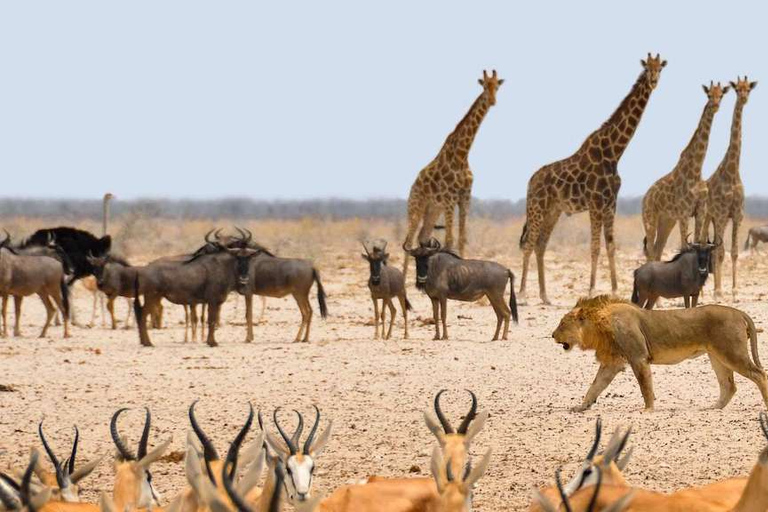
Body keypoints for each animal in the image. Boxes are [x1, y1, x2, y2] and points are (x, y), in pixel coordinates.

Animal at [402, 69, 504, 276]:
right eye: (484, 86)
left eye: (497, 86)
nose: (492, 101)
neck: (462, 155)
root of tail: (413, 186)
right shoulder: (450, 198)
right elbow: (449, 239)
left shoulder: (465, 197)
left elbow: (461, 238)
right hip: (416, 206)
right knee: (409, 240)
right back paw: (402, 280)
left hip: (433, 209)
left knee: (422, 237)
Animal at [520, 53, 668, 304]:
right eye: (647, 68)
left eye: (661, 68)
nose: (654, 81)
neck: (614, 152)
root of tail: (531, 181)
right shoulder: (596, 203)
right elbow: (595, 247)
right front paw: (591, 290)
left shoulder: (610, 204)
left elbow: (611, 246)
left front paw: (616, 290)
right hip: (537, 207)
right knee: (529, 243)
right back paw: (522, 294)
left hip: (553, 210)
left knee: (540, 245)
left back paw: (545, 296)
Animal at [552, 296, 768, 412]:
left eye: (562, 324)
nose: (552, 335)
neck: (600, 325)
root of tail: (739, 312)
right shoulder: (612, 363)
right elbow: (595, 386)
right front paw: (581, 407)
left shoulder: (638, 357)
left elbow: (645, 386)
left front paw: (648, 410)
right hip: (717, 357)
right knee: (729, 385)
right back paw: (713, 408)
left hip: (732, 353)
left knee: (759, 374)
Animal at [640, 82, 728, 262]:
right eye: (709, 95)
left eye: (721, 95)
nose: (715, 106)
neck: (696, 170)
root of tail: (645, 198)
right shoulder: (684, 212)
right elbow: (684, 246)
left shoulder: (700, 211)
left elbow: (698, 242)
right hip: (650, 218)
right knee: (651, 250)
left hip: (667, 220)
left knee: (658, 249)